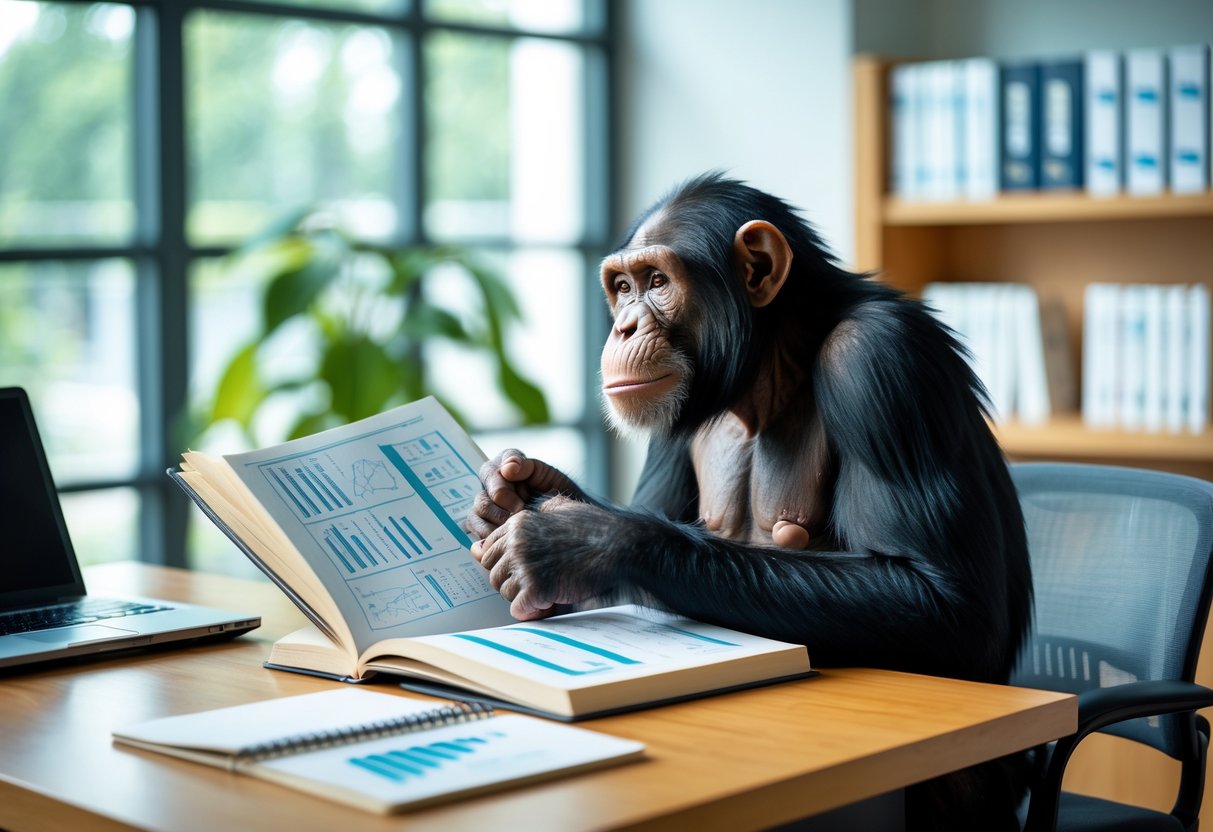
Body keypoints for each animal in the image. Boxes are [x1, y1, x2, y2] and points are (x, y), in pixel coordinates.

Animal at [466, 173, 1032, 830]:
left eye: (657, 282)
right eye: (622, 287)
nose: (624, 326)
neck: (768, 374)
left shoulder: (882, 363)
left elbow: (944, 599)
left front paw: (576, 542)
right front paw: (511, 492)